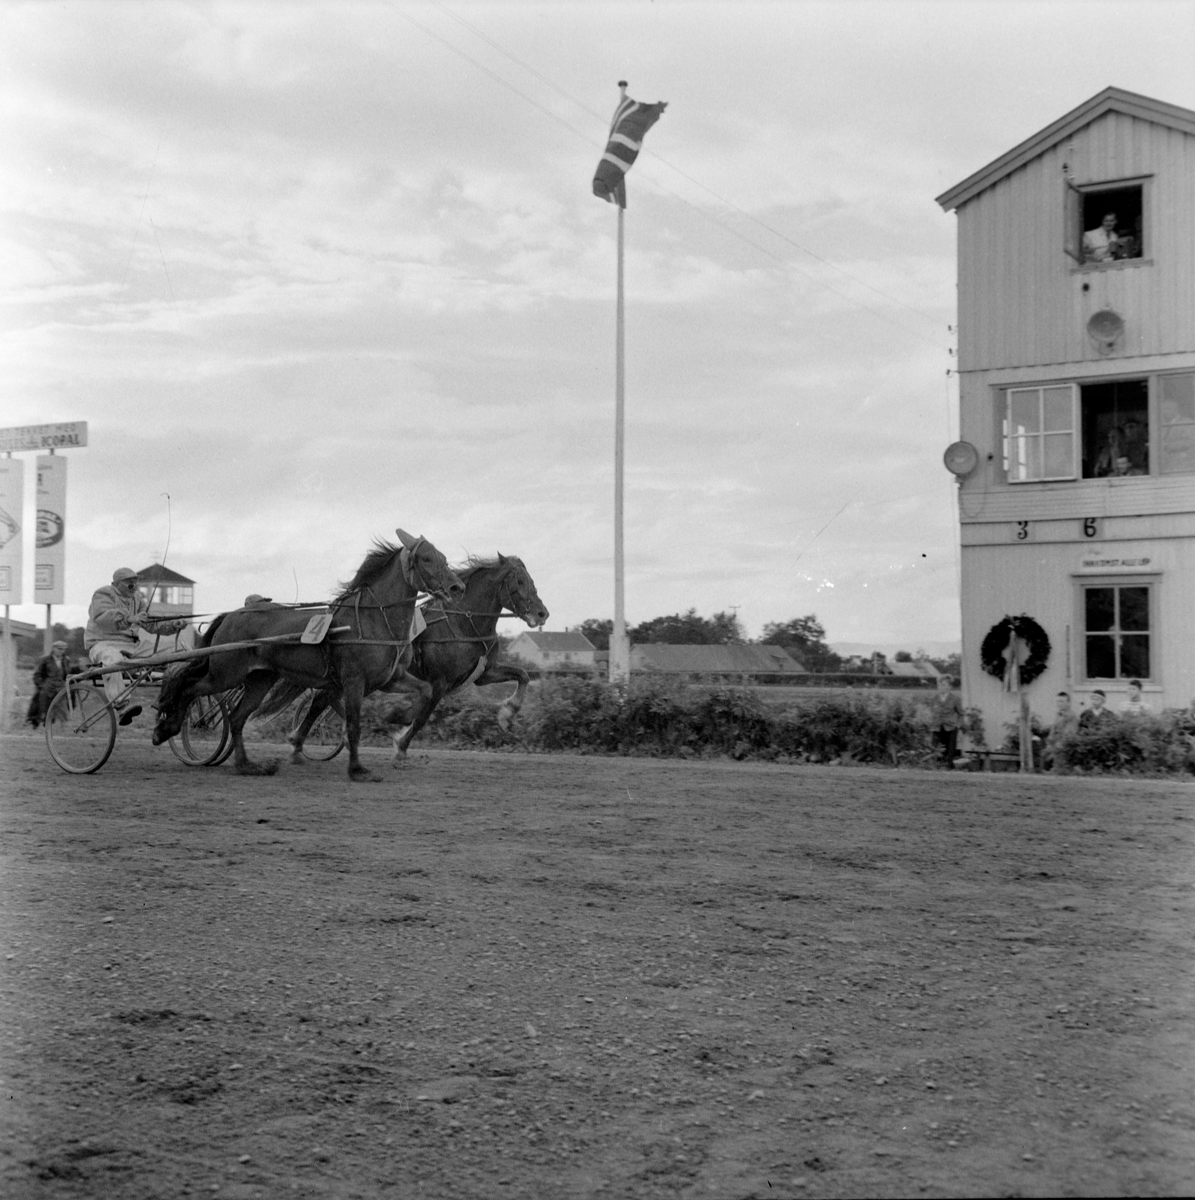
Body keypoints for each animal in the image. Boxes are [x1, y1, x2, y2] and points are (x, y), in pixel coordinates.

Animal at [150, 530, 467, 782]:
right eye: (426, 558)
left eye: (442, 556)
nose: (457, 587)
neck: (374, 620)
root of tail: (232, 615)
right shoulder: (354, 681)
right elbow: (353, 724)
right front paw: (357, 770)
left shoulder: (390, 678)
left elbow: (426, 691)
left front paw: (399, 718)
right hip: (226, 673)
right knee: (189, 686)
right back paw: (166, 727)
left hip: (260, 679)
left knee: (237, 717)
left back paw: (247, 766)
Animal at [281, 554, 549, 763]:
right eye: (520, 580)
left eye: (531, 580)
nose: (542, 613)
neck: (463, 623)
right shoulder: (440, 681)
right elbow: (422, 717)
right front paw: (400, 745)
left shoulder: (484, 673)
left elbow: (523, 675)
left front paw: (507, 715)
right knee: (320, 701)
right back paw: (301, 742)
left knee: (323, 700)